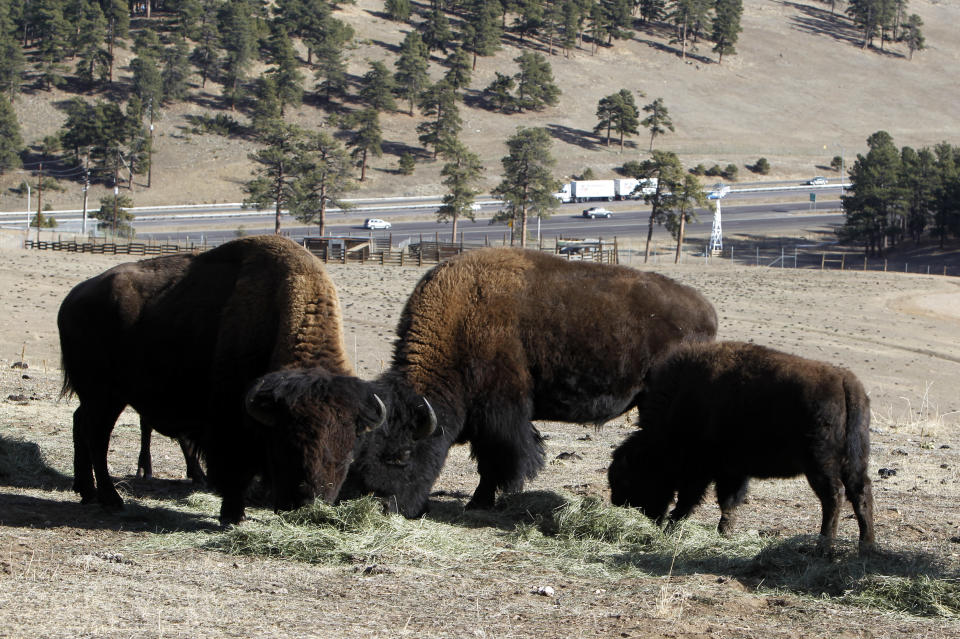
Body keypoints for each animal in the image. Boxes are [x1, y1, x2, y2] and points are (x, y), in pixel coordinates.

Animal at [57, 235, 382, 524]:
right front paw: (233, 515)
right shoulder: (230, 423)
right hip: (105, 395)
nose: (309, 505)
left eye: (348, 451)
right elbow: (235, 470)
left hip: (100, 397)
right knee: (97, 436)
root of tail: (72, 298)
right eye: (287, 444)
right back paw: (111, 499)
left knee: (80, 423)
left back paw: (86, 491)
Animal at [338, 248, 720, 516]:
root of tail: (705, 310)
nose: (383, 506)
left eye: (402, 455)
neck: (462, 321)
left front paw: (480, 502)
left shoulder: (501, 414)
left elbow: (499, 460)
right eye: (360, 452)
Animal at [608, 340, 876, 556]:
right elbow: (728, 502)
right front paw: (724, 533)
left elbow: (690, 500)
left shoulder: (702, 471)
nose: (618, 503)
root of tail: (845, 382)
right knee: (861, 494)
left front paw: (672, 528)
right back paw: (866, 546)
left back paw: (823, 547)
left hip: (820, 464)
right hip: (855, 460)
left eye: (630, 479)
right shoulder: (731, 471)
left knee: (834, 496)